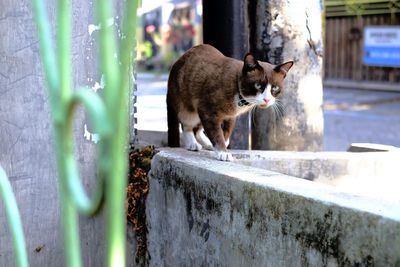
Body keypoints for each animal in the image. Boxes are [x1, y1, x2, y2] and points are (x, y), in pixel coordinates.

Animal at [166, 44, 294, 161]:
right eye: (257, 85)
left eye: (275, 88)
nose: (267, 99)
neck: (239, 97)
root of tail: (178, 61)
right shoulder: (207, 111)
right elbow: (217, 134)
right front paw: (223, 153)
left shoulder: (230, 116)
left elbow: (226, 132)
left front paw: (223, 145)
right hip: (188, 108)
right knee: (186, 126)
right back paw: (192, 144)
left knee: (197, 129)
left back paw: (208, 144)